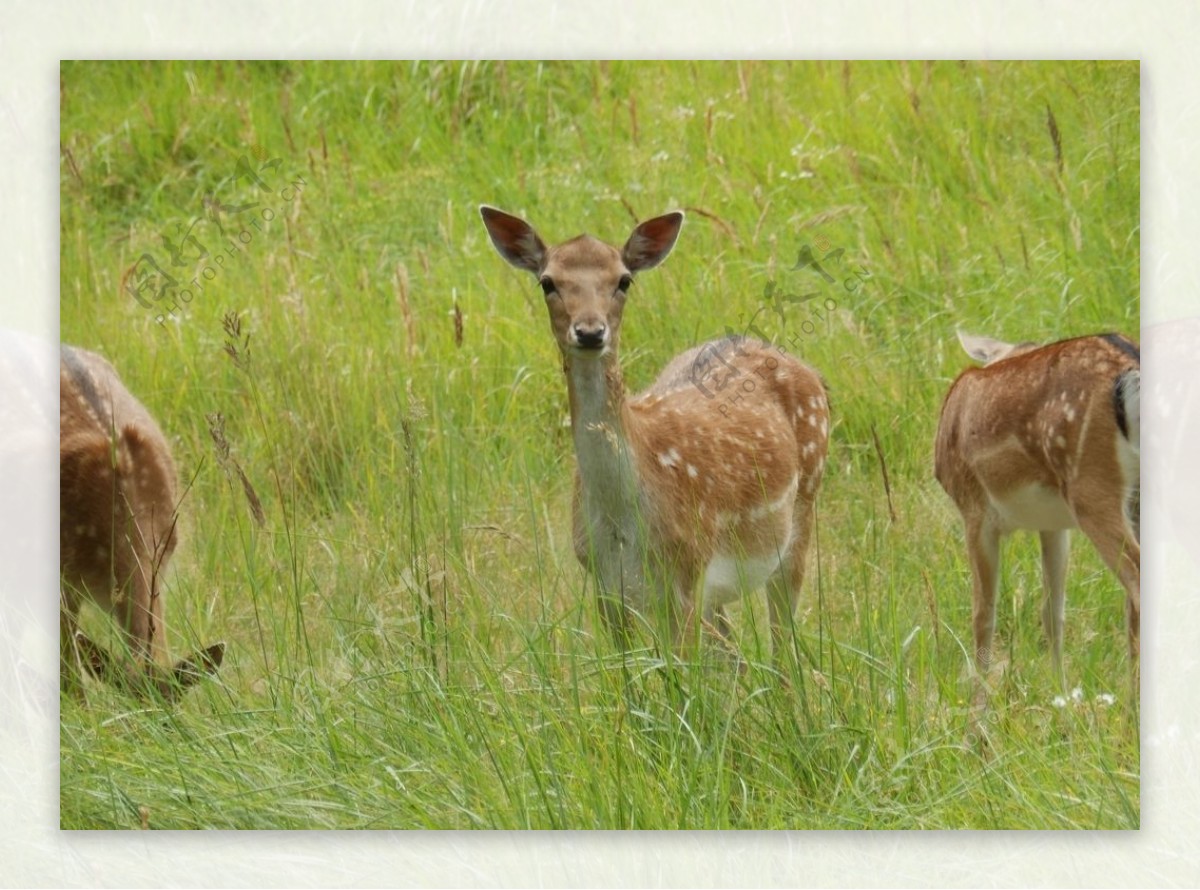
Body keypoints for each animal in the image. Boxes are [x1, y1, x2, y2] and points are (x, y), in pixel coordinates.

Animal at [482, 207, 830, 671]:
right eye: (548, 281)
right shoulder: (605, 584)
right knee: (736, 655)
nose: (589, 332)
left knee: (783, 653)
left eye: (623, 280)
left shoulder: (686, 575)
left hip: (801, 514)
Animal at [931, 328, 1137, 705]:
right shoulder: (1053, 524)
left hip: (1093, 489)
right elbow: (1052, 612)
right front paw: (1061, 701)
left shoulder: (974, 511)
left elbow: (983, 616)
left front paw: (977, 716)